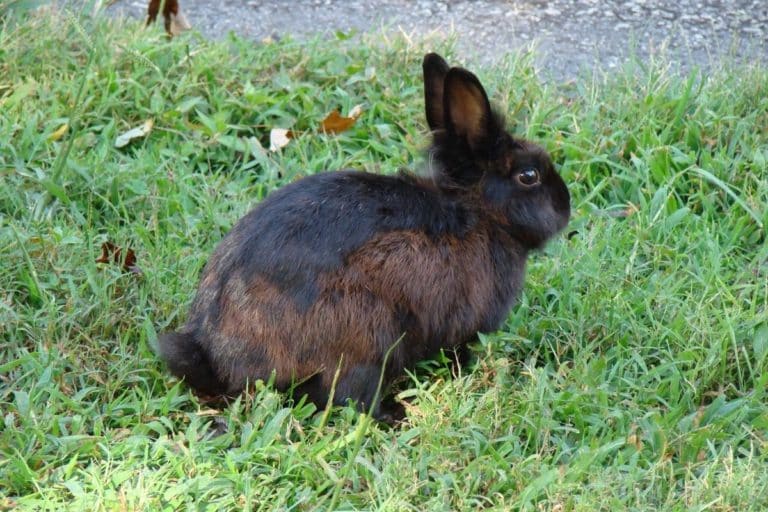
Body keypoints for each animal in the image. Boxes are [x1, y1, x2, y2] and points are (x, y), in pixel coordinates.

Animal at [158, 53, 570, 421]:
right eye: (529, 176)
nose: (566, 206)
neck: (478, 211)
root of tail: (221, 358)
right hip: (369, 336)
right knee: (346, 396)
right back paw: (395, 414)